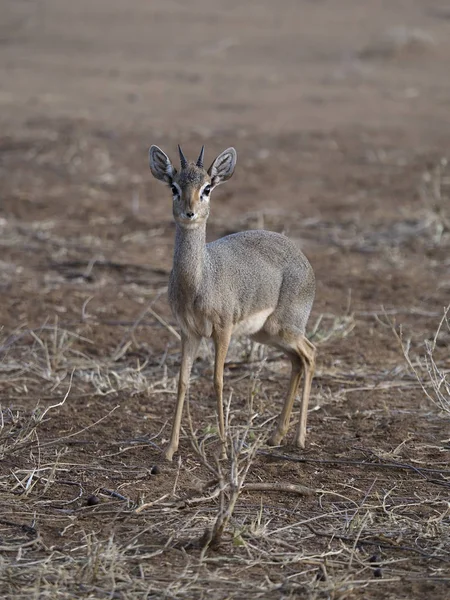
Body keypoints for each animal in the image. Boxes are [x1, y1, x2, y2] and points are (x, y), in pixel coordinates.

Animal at [149, 144, 316, 460]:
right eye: (174, 187)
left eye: (207, 188)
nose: (189, 212)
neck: (200, 279)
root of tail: (303, 258)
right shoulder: (189, 332)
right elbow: (182, 381)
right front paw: (169, 449)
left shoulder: (222, 330)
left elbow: (218, 380)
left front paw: (225, 449)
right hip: (267, 334)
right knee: (297, 361)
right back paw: (276, 436)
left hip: (286, 329)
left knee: (310, 355)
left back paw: (300, 439)